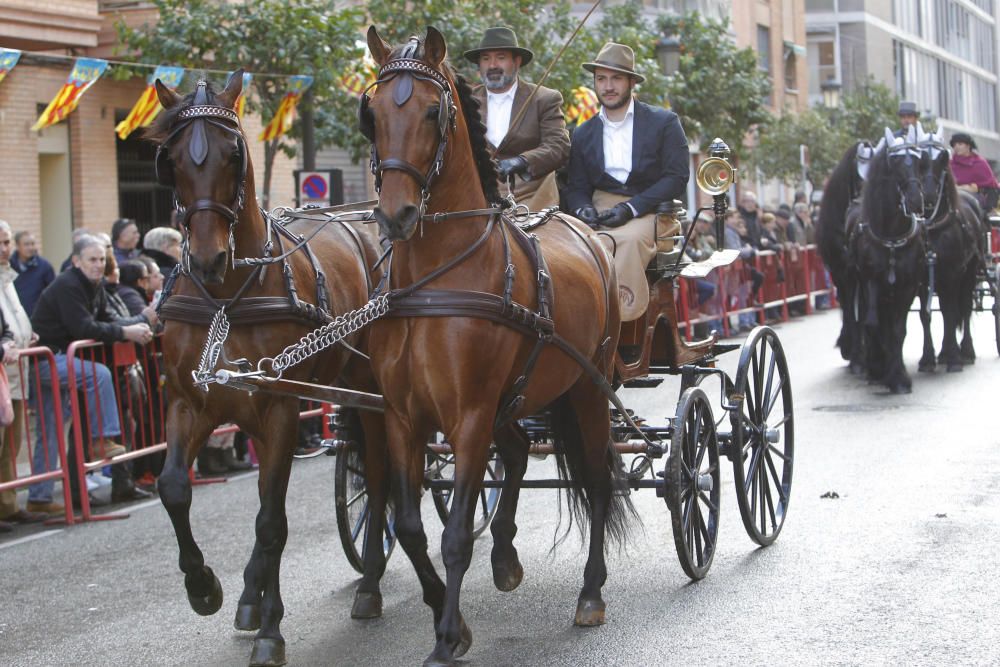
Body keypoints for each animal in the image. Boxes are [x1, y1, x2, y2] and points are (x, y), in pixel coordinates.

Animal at [148, 73, 386, 667]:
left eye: (235, 154)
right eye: (170, 160)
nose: (208, 258)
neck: (227, 298)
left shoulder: (279, 407)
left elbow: (272, 520)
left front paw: (272, 631)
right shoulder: (192, 402)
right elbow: (175, 488)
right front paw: (204, 587)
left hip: (373, 390)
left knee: (378, 477)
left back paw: (370, 583)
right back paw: (250, 595)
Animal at [364, 27, 636, 667]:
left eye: (433, 112)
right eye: (372, 114)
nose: (395, 215)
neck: (434, 280)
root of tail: (587, 231)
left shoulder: (466, 416)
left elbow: (455, 534)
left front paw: (445, 639)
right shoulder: (404, 416)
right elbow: (410, 527)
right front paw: (451, 619)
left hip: (587, 387)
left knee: (596, 478)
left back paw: (591, 593)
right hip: (518, 394)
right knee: (514, 453)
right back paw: (507, 558)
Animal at [852, 128, 928, 394]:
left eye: (919, 162)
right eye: (894, 164)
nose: (916, 200)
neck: (893, 239)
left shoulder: (908, 287)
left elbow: (898, 331)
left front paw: (898, 377)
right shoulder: (871, 282)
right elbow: (873, 325)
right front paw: (880, 369)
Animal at [916, 139, 988, 374]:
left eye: (941, 170)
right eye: (920, 169)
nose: (928, 197)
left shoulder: (952, 274)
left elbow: (950, 312)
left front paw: (954, 358)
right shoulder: (922, 279)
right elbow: (926, 315)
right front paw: (928, 358)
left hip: (970, 272)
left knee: (964, 307)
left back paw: (965, 351)